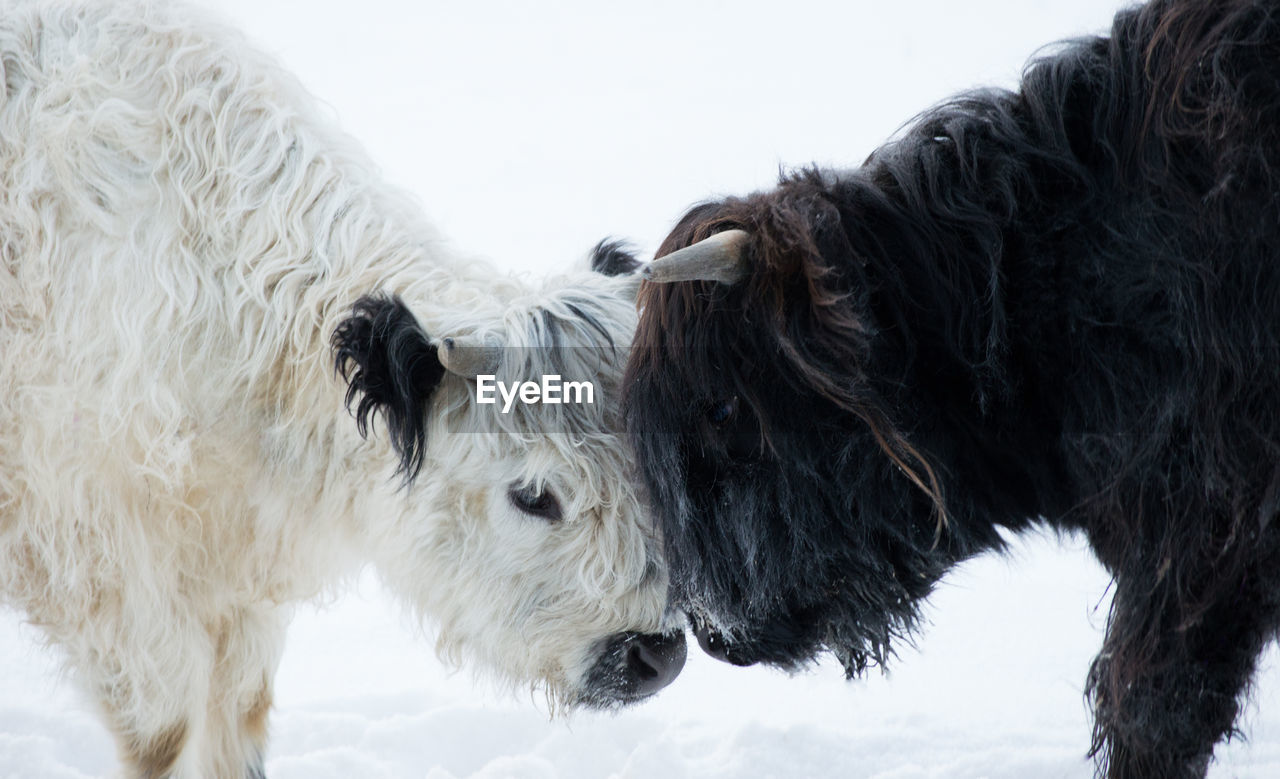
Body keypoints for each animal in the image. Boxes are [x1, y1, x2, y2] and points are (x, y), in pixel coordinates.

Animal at [0, 3, 686, 772]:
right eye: (533, 495)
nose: (655, 653)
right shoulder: (92, 556)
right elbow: (168, 731)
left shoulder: (239, 588)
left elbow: (238, 717)